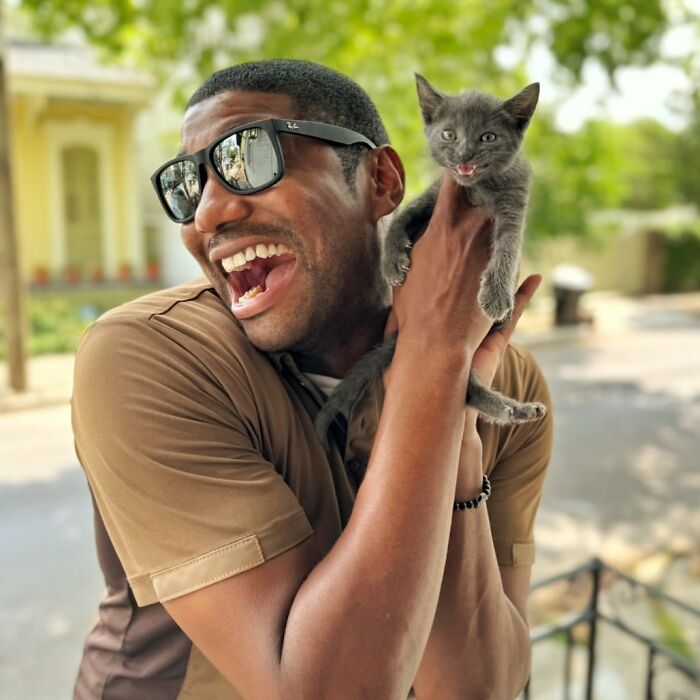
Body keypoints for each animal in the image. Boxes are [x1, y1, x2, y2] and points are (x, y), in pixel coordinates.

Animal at [316, 76, 548, 448]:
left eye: (488, 137)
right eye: (449, 134)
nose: (464, 154)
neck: (476, 189)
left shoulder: (514, 203)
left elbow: (508, 249)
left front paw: (496, 295)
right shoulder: (436, 193)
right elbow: (402, 216)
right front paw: (392, 264)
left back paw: (514, 410)